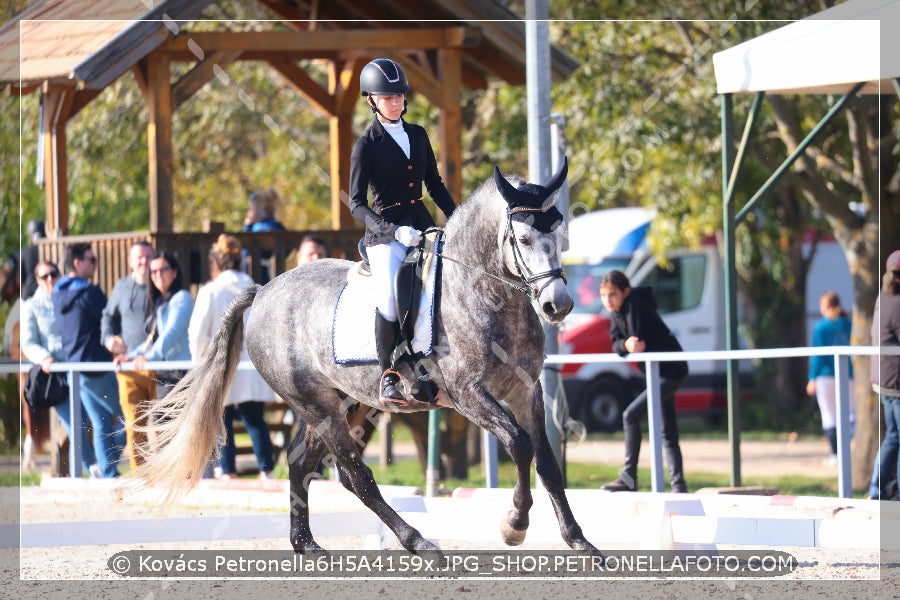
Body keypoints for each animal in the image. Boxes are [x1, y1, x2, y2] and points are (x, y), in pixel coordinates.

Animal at [135, 162, 596, 556]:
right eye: (523, 239)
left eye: (561, 234)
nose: (558, 305)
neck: (485, 293)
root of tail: (264, 290)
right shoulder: (468, 396)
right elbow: (519, 445)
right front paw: (514, 525)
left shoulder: (525, 391)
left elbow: (548, 463)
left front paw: (580, 542)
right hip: (317, 406)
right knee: (356, 478)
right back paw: (419, 543)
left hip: (337, 401)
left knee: (300, 462)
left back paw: (308, 546)